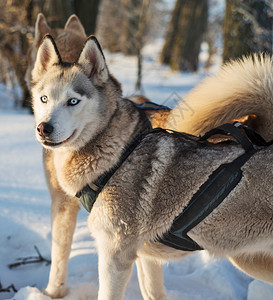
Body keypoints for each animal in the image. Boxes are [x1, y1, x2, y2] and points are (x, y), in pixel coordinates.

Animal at [30, 34, 273, 298]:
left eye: (73, 101)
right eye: (44, 99)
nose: (44, 128)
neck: (119, 155)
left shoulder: (114, 258)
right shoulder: (145, 258)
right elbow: (153, 292)